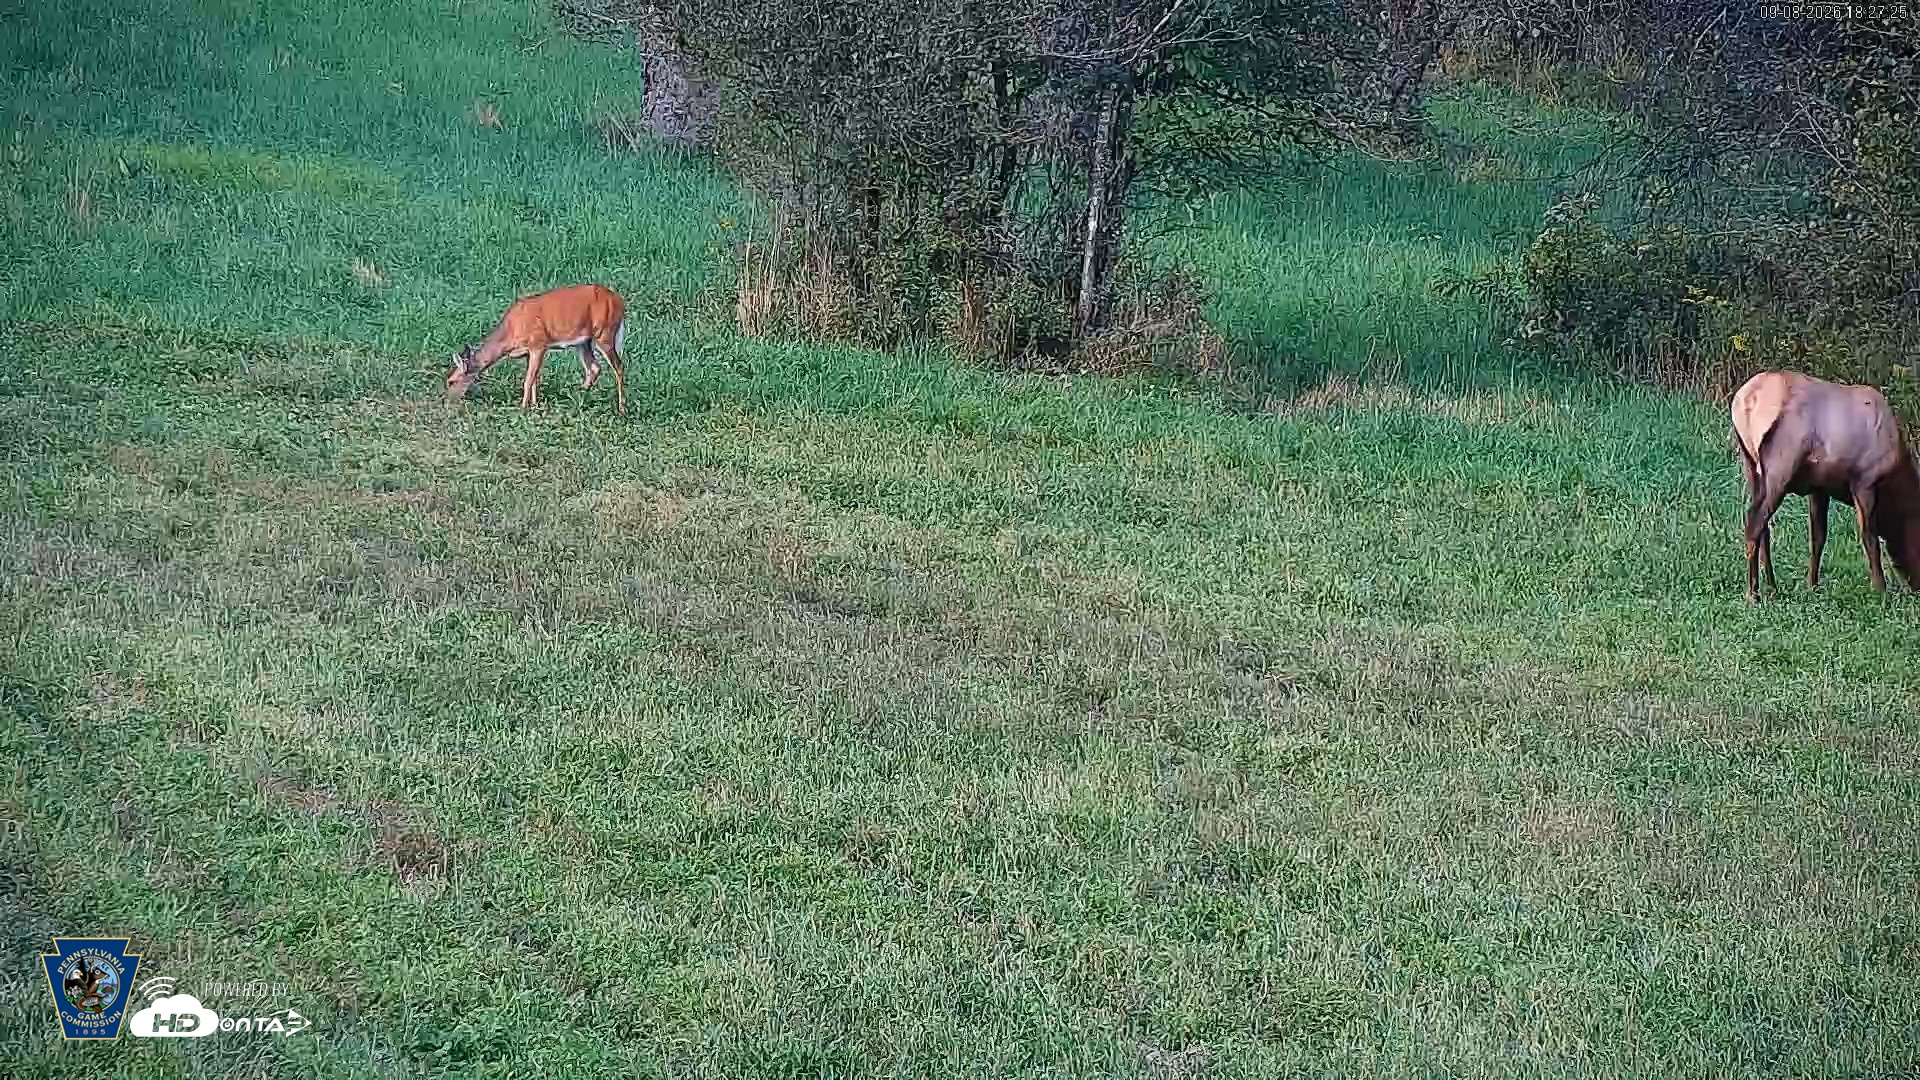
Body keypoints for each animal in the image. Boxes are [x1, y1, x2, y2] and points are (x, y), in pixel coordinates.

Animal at [445, 283, 628, 415]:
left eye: (451, 381)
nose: (447, 401)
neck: (511, 332)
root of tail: (619, 302)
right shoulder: (530, 351)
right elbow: (534, 379)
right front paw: (534, 406)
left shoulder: (539, 344)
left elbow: (528, 380)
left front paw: (522, 408)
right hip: (583, 341)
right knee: (594, 367)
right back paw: (578, 395)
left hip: (605, 333)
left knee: (619, 366)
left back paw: (621, 409)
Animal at [1731, 370, 1920, 601]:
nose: (1916, 586)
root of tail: (1747, 400)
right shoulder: (1864, 482)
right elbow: (1870, 537)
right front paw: (1880, 589)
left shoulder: (1819, 488)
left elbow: (1818, 537)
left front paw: (1812, 585)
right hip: (1780, 467)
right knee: (1754, 522)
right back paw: (1753, 593)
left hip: (1751, 466)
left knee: (1763, 528)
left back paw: (1772, 587)